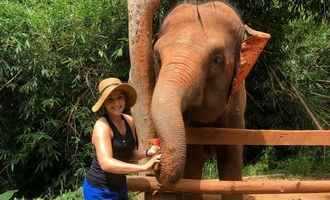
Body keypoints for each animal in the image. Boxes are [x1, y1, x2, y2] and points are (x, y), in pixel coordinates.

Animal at [127, 0, 270, 199]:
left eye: (217, 60)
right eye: (157, 57)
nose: (156, 154)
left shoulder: (236, 106)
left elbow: (230, 157)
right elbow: (193, 160)